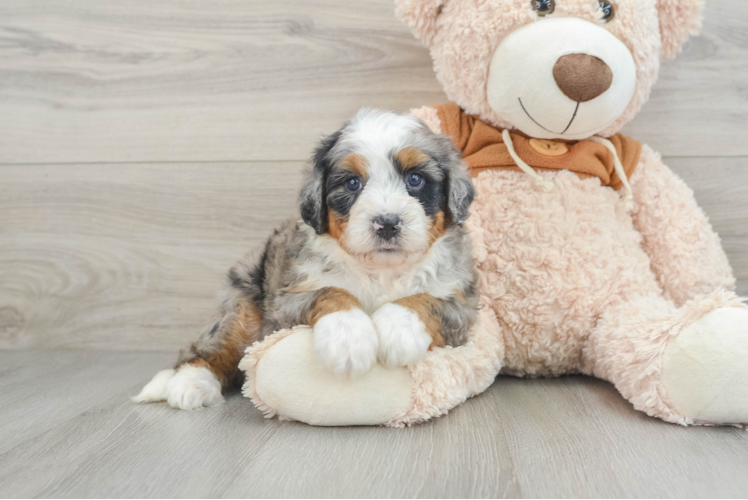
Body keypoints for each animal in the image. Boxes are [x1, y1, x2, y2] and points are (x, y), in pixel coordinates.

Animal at [134, 109, 480, 410]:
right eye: (353, 183)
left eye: (416, 180)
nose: (387, 223)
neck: (380, 271)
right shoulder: (286, 301)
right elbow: (331, 291)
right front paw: (348, 337)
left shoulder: (462, 306)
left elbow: (425, 300)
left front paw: (397, 329)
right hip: (243, 309)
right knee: (208, 348)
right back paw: (189, 384)